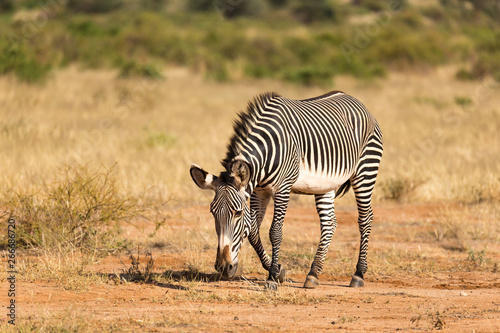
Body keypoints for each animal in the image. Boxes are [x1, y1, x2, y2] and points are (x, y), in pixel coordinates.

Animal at [190, 90, 382, 288]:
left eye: (237, 213)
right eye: (213, 213)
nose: (223, 267)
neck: (266, 151)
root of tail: (356, 101)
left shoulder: (283, 188)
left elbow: (275, 232)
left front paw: (272, 278)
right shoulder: (259, 190)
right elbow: (253, 231)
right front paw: (277, 270)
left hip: (365, 171)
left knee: (365, 219)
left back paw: (358, 274)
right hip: (326, 185)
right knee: (329, 223)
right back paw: (313, 274)